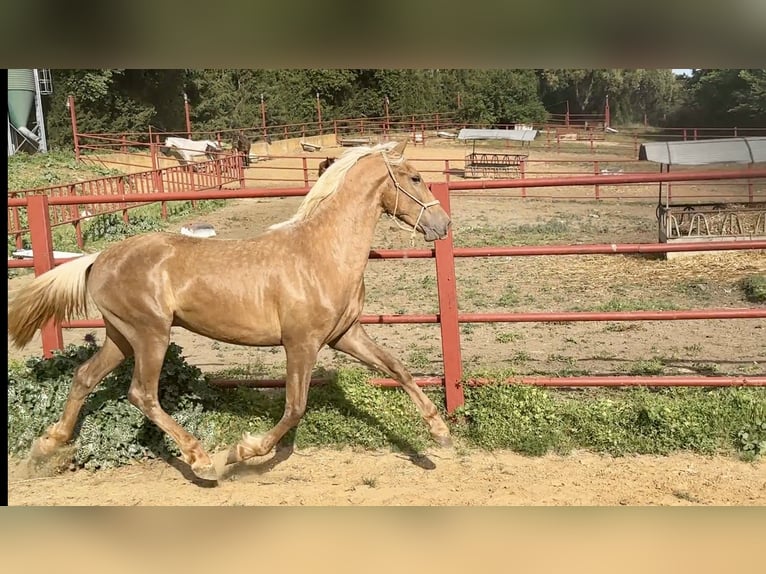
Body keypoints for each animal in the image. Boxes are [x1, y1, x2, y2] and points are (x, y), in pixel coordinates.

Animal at [8, 140, 453, 483]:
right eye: (415, 177)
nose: (443, 224)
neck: (320, 252)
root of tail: (98, 258)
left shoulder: (346, 335)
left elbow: (398, 369)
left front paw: (440, 432)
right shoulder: (301, 343)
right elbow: (295, 407)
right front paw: (241, 452)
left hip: (121, 336)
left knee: (84, 377)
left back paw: (45, 449)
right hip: (151, 334)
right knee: (141, 394)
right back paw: (202, 461)